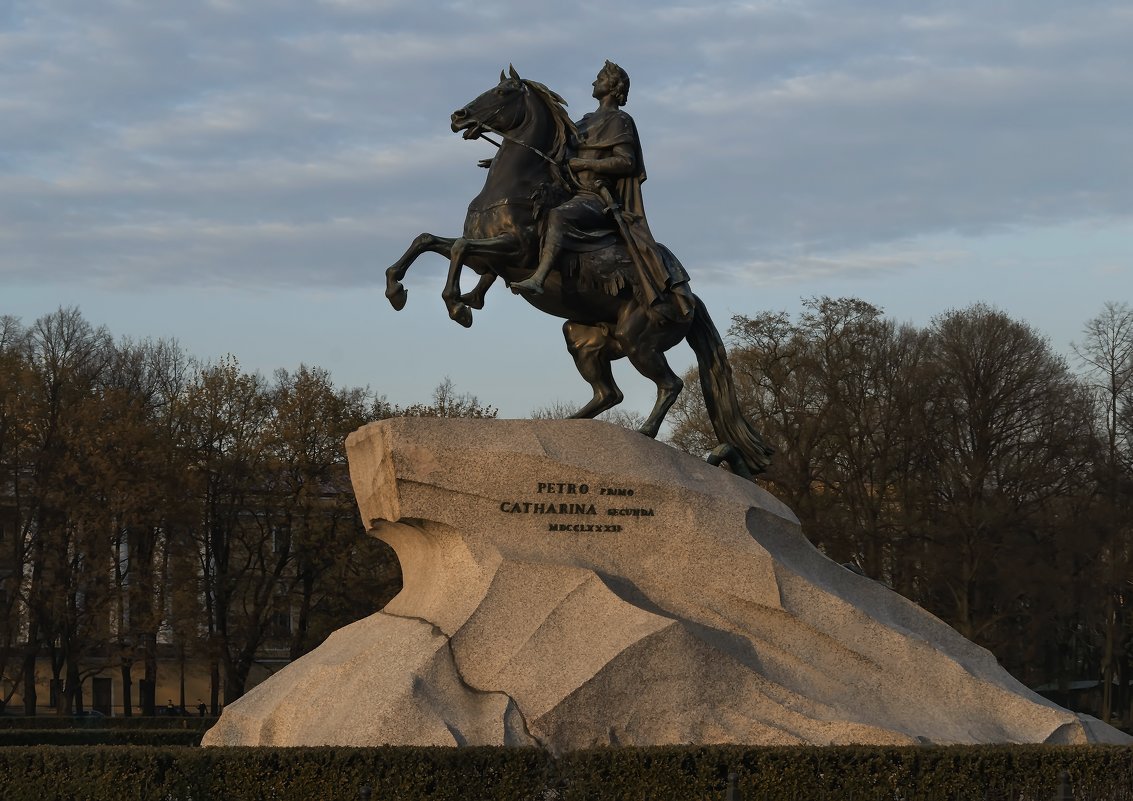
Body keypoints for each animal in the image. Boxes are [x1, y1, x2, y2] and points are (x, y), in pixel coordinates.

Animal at [380, 67, 770, 475]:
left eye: (503, 92)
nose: (458, 116)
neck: (517, 185)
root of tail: (688, 296)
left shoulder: (512, 250)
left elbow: (456, 249)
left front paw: (458, 307)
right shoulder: (485, 258)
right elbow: (427, 240)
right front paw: (397, 290)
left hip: (639, 341)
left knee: (670, 384)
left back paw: (644, 432)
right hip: (583, 338)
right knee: (609, 392)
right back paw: (571, 427)